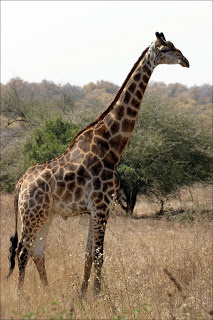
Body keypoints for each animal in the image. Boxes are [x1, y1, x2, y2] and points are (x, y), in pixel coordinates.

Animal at [7, 31, 189, 296]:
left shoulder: (97, 207)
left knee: (37, 251)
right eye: (166, 49)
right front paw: (98, 295)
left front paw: (83, 294)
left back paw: (48, 293)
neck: (111, 146)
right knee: (22, 250)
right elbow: (99, 253)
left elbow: (88, 253)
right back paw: (22, 296)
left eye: (176, 46)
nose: (186, 61)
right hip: (32, 213)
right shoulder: (102, 204)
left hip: (45, 214)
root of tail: (20, 183)